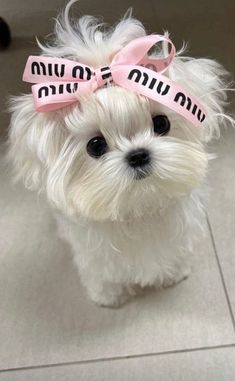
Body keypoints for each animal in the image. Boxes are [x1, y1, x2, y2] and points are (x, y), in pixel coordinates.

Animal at [7, 0, 233, 306]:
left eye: (161, 124)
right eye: (95, 145)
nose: (137, 155)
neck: (137, 205)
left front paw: (173, 274)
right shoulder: (94, 256)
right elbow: (102, 275)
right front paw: (109, 297)